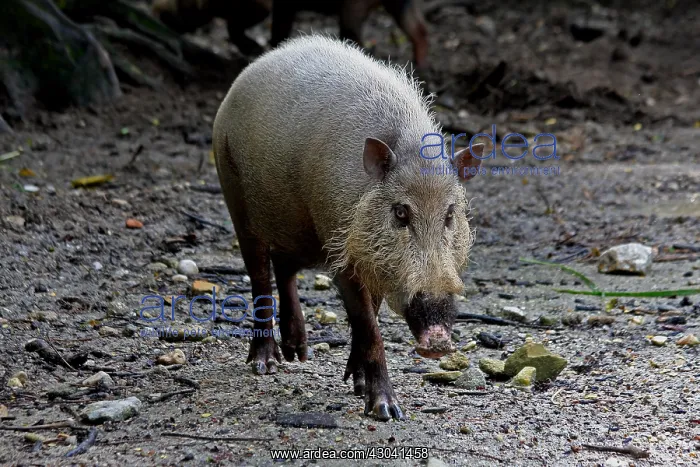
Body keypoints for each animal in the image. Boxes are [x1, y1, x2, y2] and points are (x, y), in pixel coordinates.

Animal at [212, 35, 482, 421]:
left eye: (449, 214)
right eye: (401, 213)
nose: (439, 342)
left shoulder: (369, 258)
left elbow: (368, 316)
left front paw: (356, 386)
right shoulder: (341, 252)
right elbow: (369, 327)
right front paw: (386, 411)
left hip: (300, 231)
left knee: (284, 266)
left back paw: (298, 353)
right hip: (235, 196)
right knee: (259, 275)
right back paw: (266, 364)